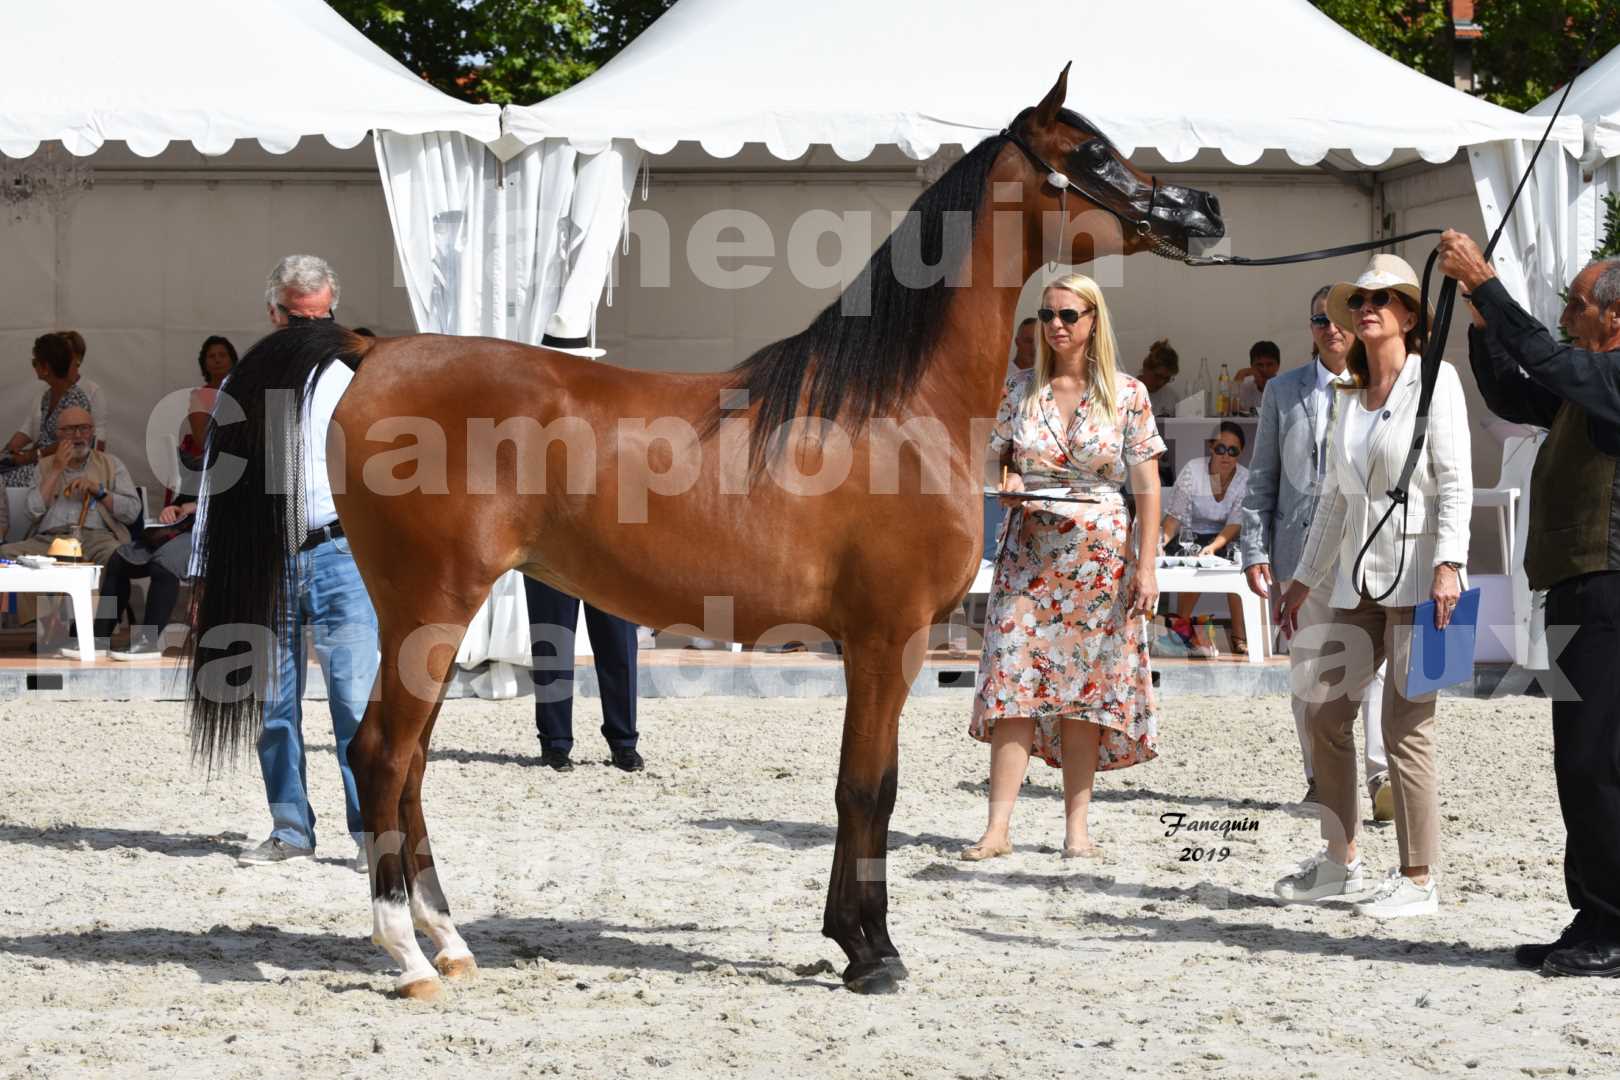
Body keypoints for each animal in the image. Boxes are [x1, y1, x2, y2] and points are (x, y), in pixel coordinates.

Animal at [189, 65, 1218, 997]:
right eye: (1091, 153)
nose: (1201, 209)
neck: (893, 405)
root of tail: (375, 349)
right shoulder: (887, 638)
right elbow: (868, 788)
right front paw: (872, 953)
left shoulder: (878, 644)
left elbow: (862, 785)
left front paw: (851, 940)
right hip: (431, 607)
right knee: (379, 755)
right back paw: (405, 957)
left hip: (428, 619)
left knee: (407, 767)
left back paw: (450, 942)